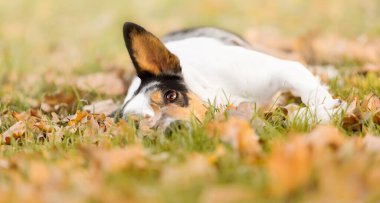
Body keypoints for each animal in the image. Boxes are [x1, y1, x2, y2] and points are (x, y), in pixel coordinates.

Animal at [119, 22, 342, 129]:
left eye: (171, 95)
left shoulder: (281, 69)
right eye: (139, 126)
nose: (175, 128)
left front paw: (325, 109)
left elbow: (309, 90)